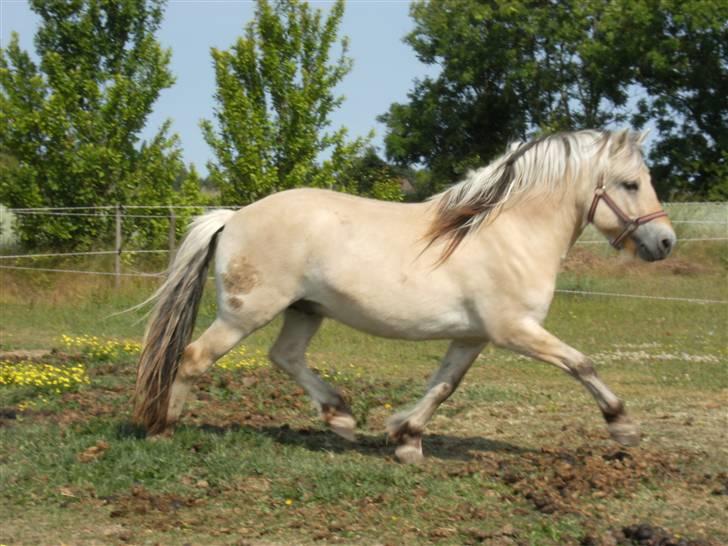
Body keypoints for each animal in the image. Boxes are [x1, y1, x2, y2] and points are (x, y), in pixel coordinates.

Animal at [132, 127, 676, 460]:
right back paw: (162, 428)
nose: (665, 242)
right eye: (630, 184)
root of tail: (233, 216)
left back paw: (341, 417)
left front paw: (405, 438)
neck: (508, 232)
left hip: (305, 311)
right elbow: (582, 364)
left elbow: (443, 386)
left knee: (284, 356)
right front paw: (624, 427)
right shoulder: (515, 331)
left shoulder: (473, 337)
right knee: (195, 357)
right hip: (246, 313)